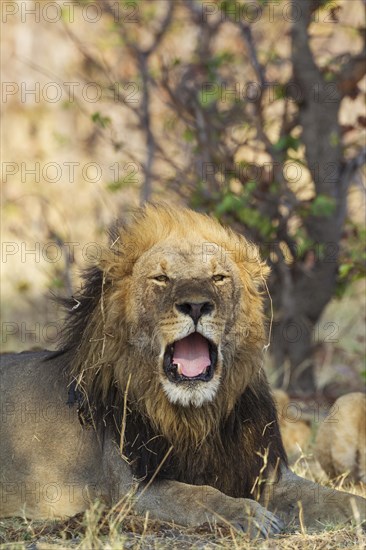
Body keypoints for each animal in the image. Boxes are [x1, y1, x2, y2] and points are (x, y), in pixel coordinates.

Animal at [0, 205, 364, 536]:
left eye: (219, 277)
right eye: (162, 279)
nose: (196, 305)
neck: (197, 417)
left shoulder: (268, 473)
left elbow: (335, 497)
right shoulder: (133, 489)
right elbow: (198, 495)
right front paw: (248, 514)